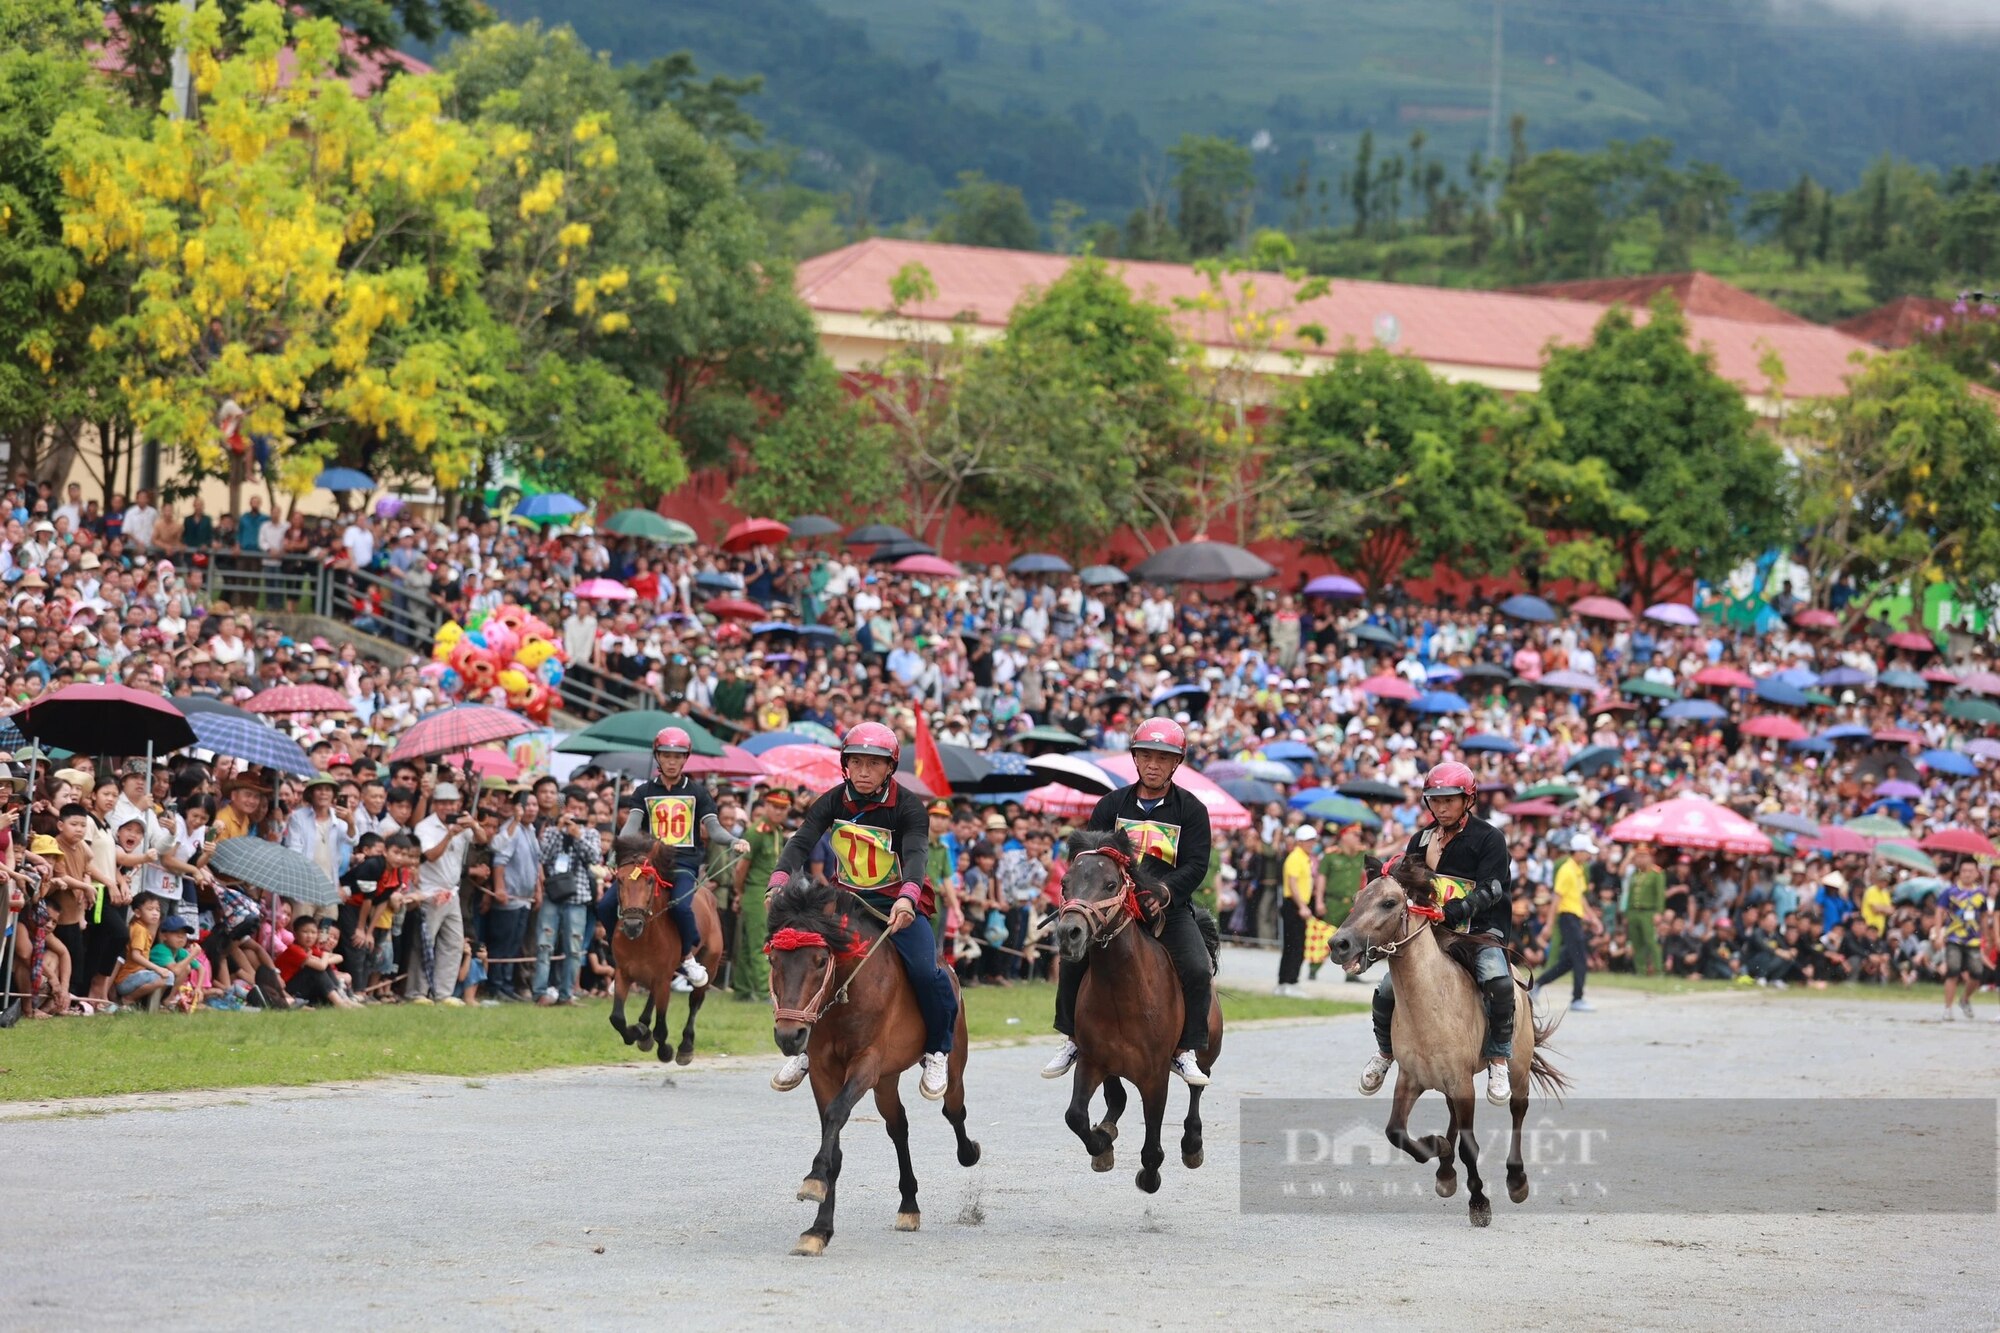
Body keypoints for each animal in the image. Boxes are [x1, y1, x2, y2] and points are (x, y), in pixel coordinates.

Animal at [612, 836, 732, 1064]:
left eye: (650, 881)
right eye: (620, 880)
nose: (632, 925)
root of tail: (706, 892)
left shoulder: (662, 977)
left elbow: (661, 1029)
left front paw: (665, 1050)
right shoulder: (624, 973)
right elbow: (617, 1018)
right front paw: (637, 1033)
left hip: (710, 964)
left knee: (695, 1002)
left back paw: (685, 1046)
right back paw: (643, 1028)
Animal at [764, 876, 976, 1248]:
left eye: (821, 960)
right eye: (774, 960)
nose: (790, 1035)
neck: (845, 994)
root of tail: (949, 969)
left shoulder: (866, 1063)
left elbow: (836, 1113)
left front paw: (814, 1180)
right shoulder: (823, 1071)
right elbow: (832, 1137)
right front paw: (819, 1228)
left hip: (952, 1059)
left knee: (953, 1110)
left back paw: (968, 1150)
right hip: (886, 1080)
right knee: (898, 1125)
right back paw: (909, 1206)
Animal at [1048, 832, 1216, 1192]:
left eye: (1111, 884)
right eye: (1065, 883)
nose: (1070, 934)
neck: (1121, 992)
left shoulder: (1155, 1076)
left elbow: (1152, 1143)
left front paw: (1149, 1177)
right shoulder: (1092, 1061)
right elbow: (1076, 1116)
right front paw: (1100, 1144)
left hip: (1208, 1051)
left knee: (1197, 1087)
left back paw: (1192, 1145)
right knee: (1118, 1098)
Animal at [1336, 852, 1568, 1224]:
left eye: (1389, 902)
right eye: (1358, 899)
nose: (1338, 944)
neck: (1431, 1000)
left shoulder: (1462, 1083)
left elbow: (1469, 1146)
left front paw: (1479, 1203)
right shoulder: (1412, 1078)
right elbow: (1396, 1131)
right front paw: (1439, 1150)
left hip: (1517, 1069)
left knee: (1518, 1110)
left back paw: (1516, 1180)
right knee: (1452, 1119)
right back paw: (1445, 1171)